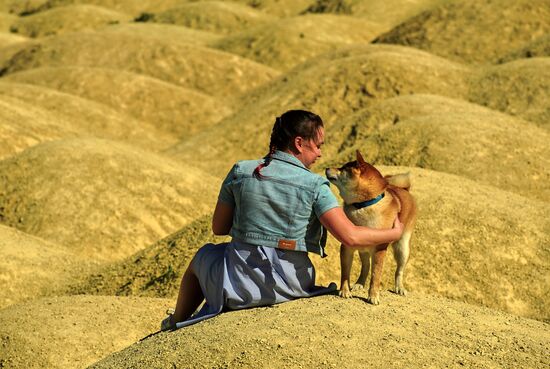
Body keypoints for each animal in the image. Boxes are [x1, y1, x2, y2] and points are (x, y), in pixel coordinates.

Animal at [328, 151, 418, 304]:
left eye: (343, 168)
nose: (327, 168)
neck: (363, 205)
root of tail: (404, 189)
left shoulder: (380, 249)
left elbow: (376, 275)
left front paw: (373, 296)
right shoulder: (346, 247)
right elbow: (345, 272)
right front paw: (344, 291)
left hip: (402, 248)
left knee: (399, 271)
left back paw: (399, 287)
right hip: (363, 249)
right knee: (366, 266)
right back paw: (359, 283)